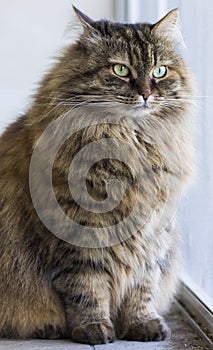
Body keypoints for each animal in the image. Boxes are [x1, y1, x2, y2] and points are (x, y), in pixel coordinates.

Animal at [0, 5, 195, 344]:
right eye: (120, 70)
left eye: (159, 71)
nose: (146, 93)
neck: (132, 143)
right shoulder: (77, 235)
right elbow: (86, 288)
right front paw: (93, 328)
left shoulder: (152, 233)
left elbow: (143, 287)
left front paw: (142, 324)